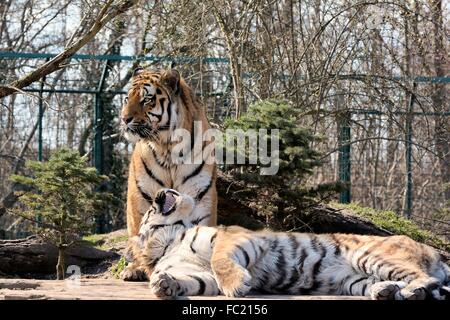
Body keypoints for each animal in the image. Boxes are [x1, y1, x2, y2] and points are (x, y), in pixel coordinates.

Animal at [126, 189, 450, 298]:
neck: (172, 240)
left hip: (371, 256)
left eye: (151, 207)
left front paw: (237, 286)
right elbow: (193, 281)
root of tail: (433, 252)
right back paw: (385, 291)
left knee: (422, 277)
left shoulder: (235, 238)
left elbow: (220, 261)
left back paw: (411, 292)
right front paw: (164, 284)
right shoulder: (200, 273)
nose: (161, 192)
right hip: (353, 280)